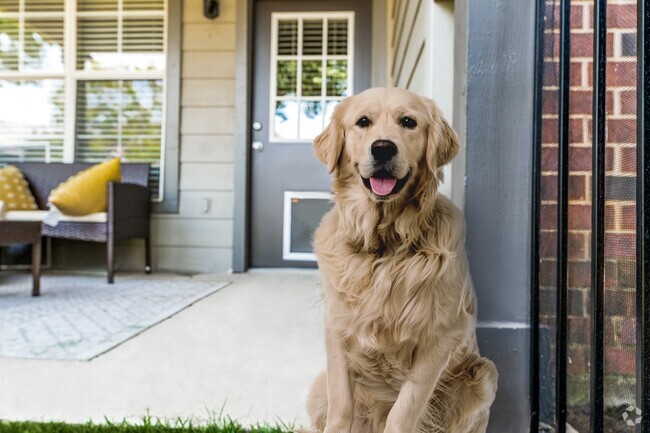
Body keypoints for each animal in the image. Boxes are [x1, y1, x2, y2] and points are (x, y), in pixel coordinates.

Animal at [304, 88, 496, 432]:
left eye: (408, 122)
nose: (382, 148)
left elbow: (404, 410)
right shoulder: (337, 328)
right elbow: (341, 406)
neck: (384, 246)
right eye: (362, 122)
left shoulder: (439, 338)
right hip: (316, 388)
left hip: (484, 376)